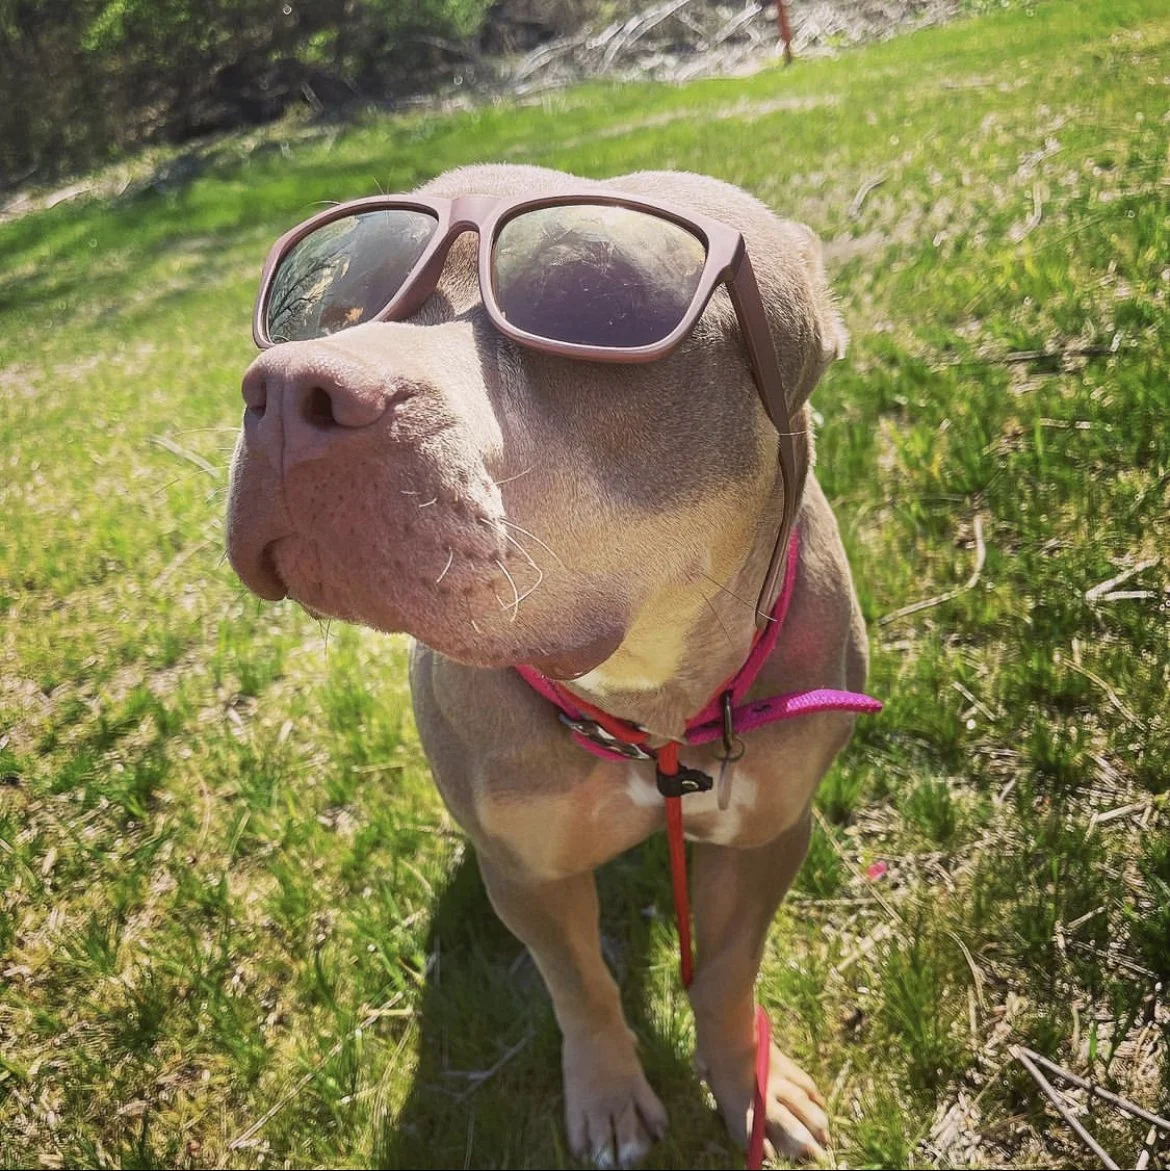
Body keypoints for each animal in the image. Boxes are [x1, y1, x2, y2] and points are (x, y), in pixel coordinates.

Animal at [226, 164, 871, 1167]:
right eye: (338, 308)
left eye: (598, 303)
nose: (290, 387)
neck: (650, 697)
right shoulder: (525, 872)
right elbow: (581, 987)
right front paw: (609, 1096)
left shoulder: (770, 834)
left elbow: (727, 973)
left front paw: (751, 1083)